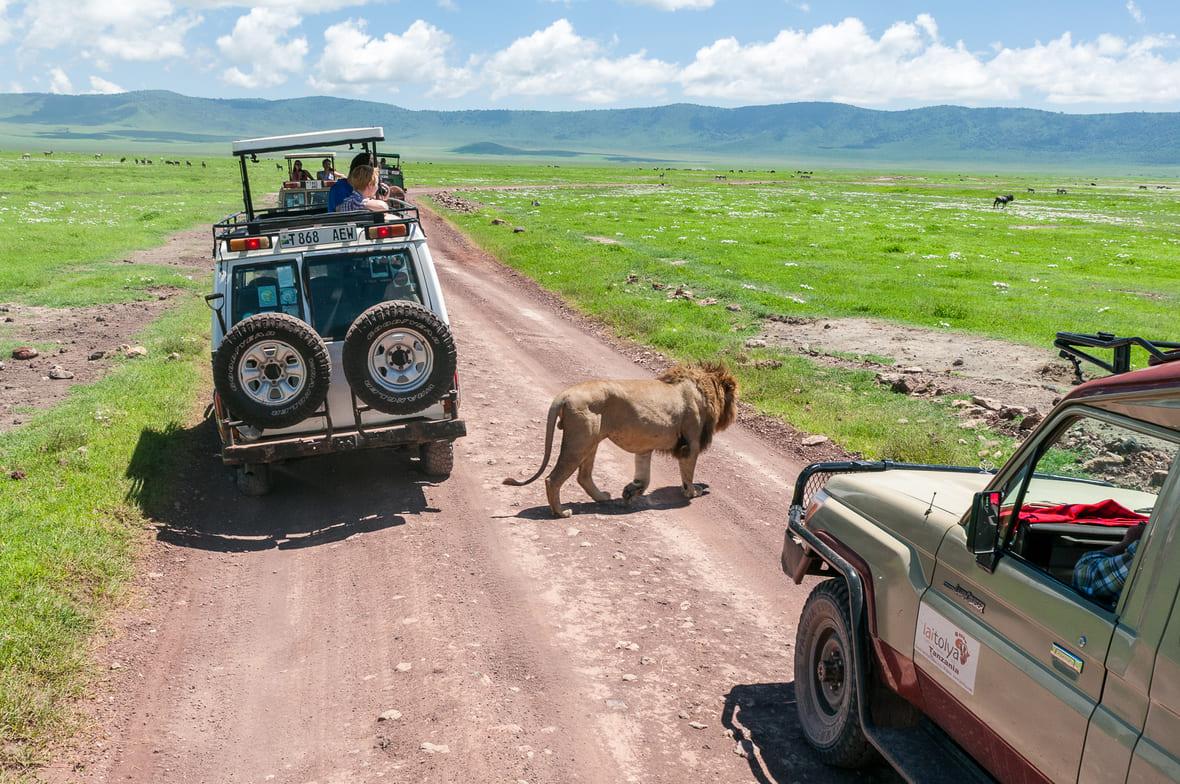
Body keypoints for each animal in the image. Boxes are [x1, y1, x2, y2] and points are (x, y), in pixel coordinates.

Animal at [503, 361, 739, 518]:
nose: (735, 414)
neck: (702, 388)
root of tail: (564, 394)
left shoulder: (645, 448)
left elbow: (644, 477)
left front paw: (630, 492)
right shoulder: (691, 443)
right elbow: (687, 474)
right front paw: (693, 492)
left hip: (591, 440)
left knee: (583, 476)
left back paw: (602, 497)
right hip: (580, 441)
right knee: (553, 479)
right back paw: (561, 512)